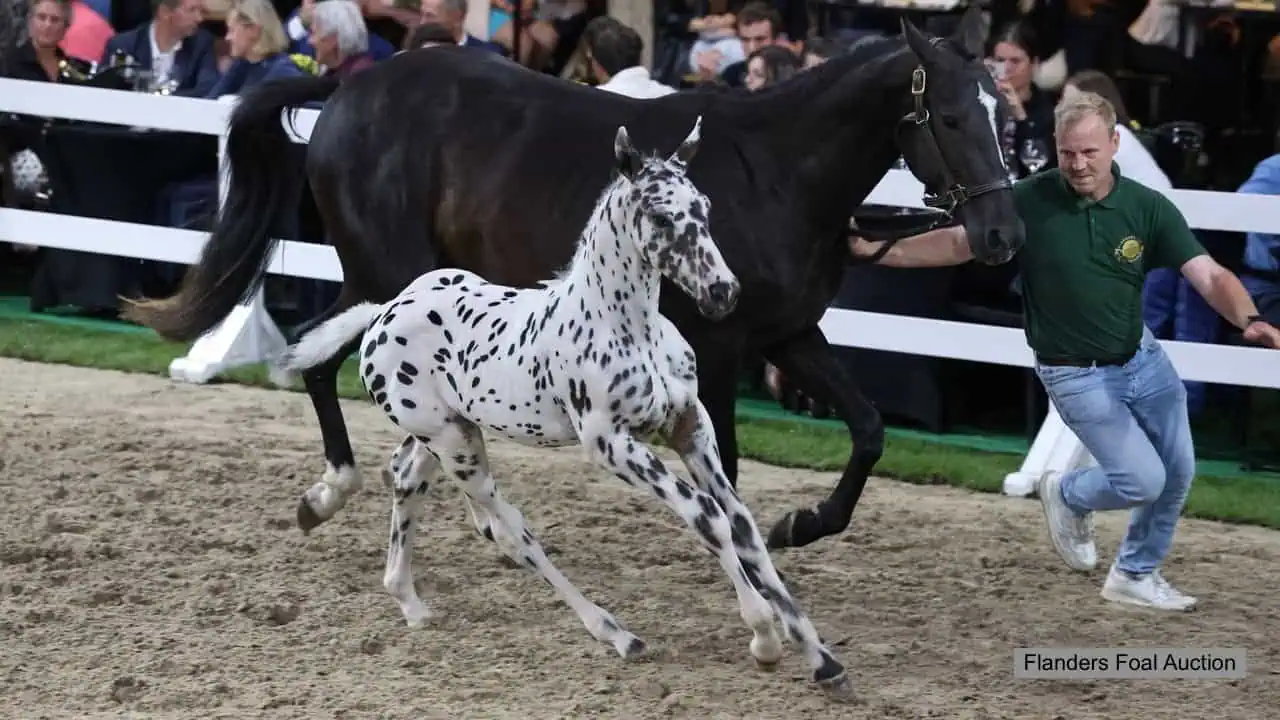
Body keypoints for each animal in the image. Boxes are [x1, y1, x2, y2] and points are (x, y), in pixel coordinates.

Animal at [121, 8, 1025, 553]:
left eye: (1006, 112)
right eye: (950, 116)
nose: (1002, 235)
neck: (774, 173)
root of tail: (348, 86)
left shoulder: (788, 334)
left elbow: (868, 428)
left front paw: (802, 524)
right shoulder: (718, 345)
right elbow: (727, 461)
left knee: (325, 365)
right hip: (391, 280)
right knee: (323, 364)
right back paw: (341, 492)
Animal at [279, 119, 855, 701]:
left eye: (704, 207)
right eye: (661, 215)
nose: (722, 292)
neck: (626, 327)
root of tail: (384, 312)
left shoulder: (690, 425)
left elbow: (742, 524)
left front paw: (821, 658)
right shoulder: (611, 445)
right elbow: (707, 516)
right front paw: (764, 636)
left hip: (448, 431)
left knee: (404, 476)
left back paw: (408, 599)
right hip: (456, 447)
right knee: (514, 530)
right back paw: (617, 634)